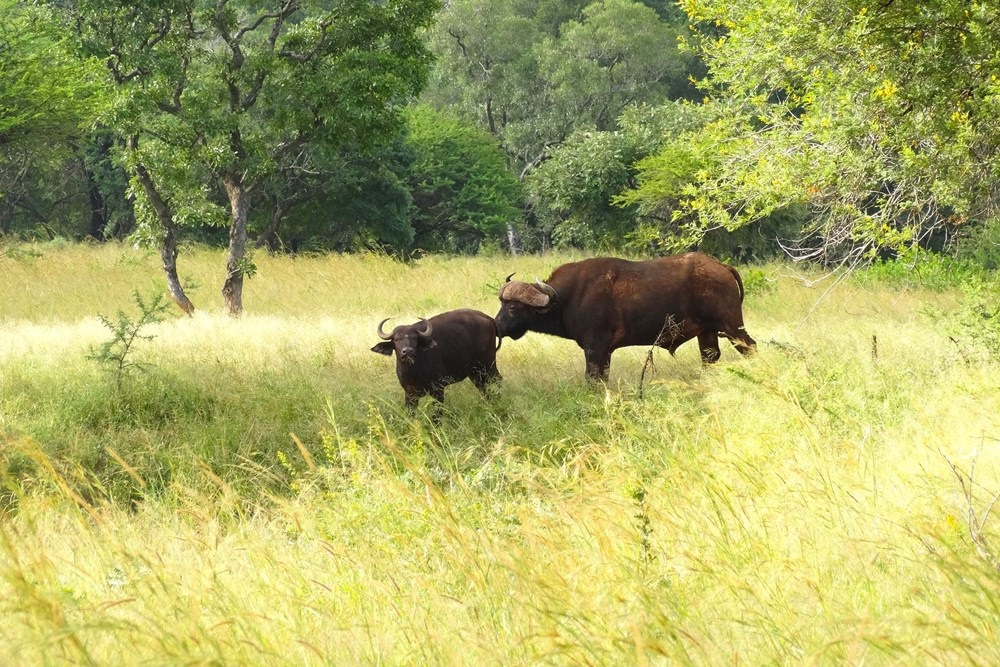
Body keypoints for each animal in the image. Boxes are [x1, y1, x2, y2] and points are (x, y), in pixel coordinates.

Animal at [374, 310, 504, 412]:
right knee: (483, 387)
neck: (414, 371)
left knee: (498, 380)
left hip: (488, 364)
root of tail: (486, 317)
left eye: (415, 338)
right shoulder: (410, 394)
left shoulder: (438, 390)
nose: (408, 351)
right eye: (396, 339)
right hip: (475, 372)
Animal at [492, 253, 756, 380]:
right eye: (501, 303)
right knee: (710, 358)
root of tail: (720, 266)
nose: (497, 326)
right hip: (707, 333)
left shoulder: (596, 349)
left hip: (732, 326)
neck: (569, 297)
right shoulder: (604, 353)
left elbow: (593, 379)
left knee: (750, 347)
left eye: (513, 307)